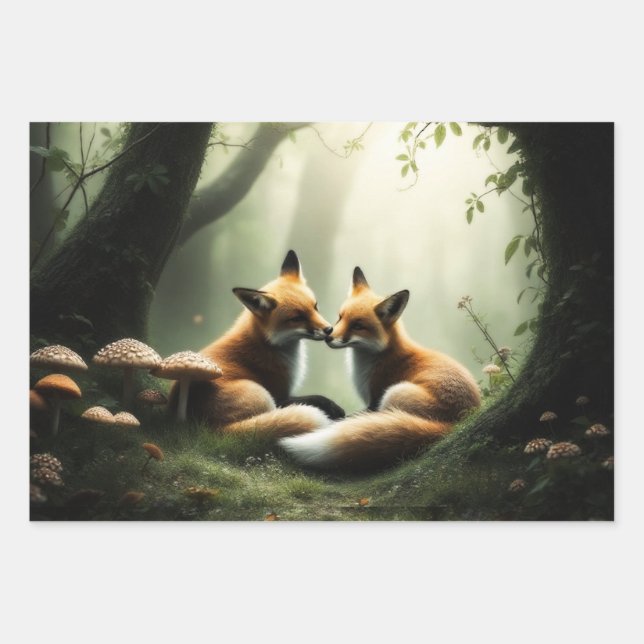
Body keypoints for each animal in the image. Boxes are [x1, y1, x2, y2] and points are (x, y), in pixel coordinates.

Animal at [175, 250, 344, 437]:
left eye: (315, 306)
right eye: (297, 318)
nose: (329, 330)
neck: (266, 343)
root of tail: (210, 430)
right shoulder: (280, 394)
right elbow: (314, 398)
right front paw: (333, 407)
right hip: (263, 395)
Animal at [279, 266, 481, 469]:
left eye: (358, 326)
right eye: (340, 317)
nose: (328, 336)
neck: (379, 357)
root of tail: (456, 424)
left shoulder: (374, 399)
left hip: (394, 393)